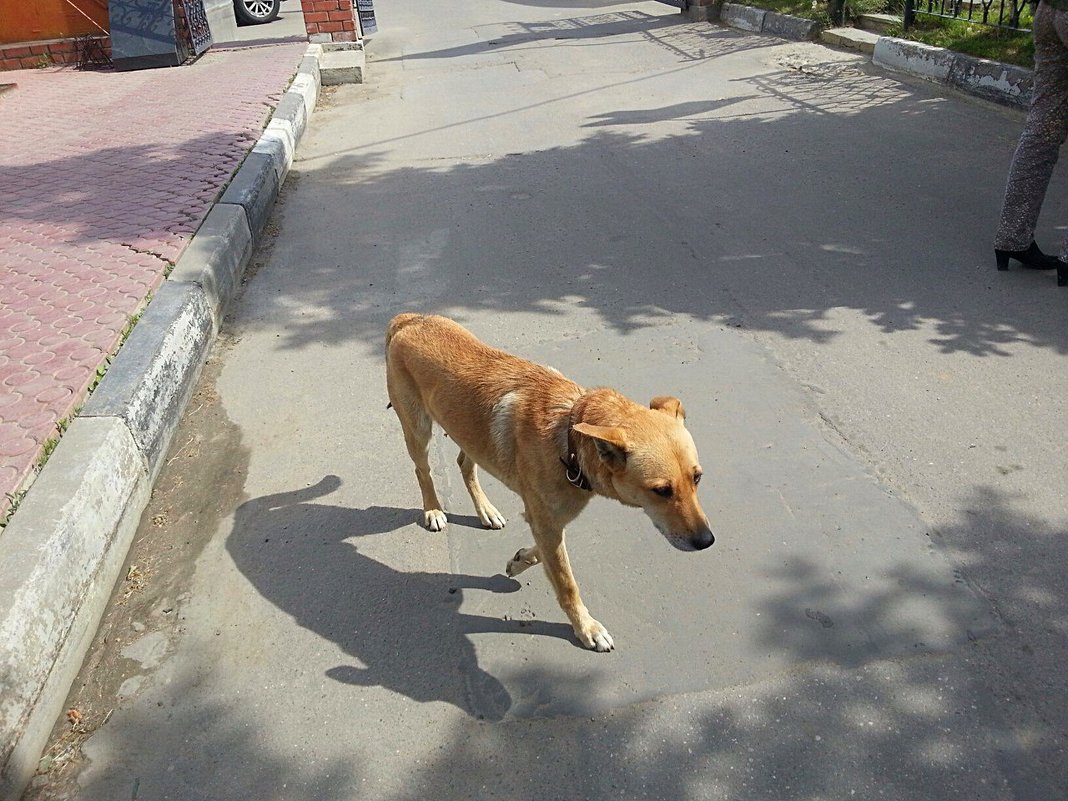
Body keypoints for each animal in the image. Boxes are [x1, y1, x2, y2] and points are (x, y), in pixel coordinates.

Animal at [386, 313, 717, 653]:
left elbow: (545, 554)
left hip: (469, 435)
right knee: (423, 472)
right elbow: (567, 582)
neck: (569, 437)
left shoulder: (549, 519)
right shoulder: (547, 521)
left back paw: (486, 511)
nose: (706, 541)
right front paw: (585, 627)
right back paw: (434, 510)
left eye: (697, 478)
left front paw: (521, 559)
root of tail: (410, 319)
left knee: (465, 465)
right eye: (661, 491)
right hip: (418, 430)